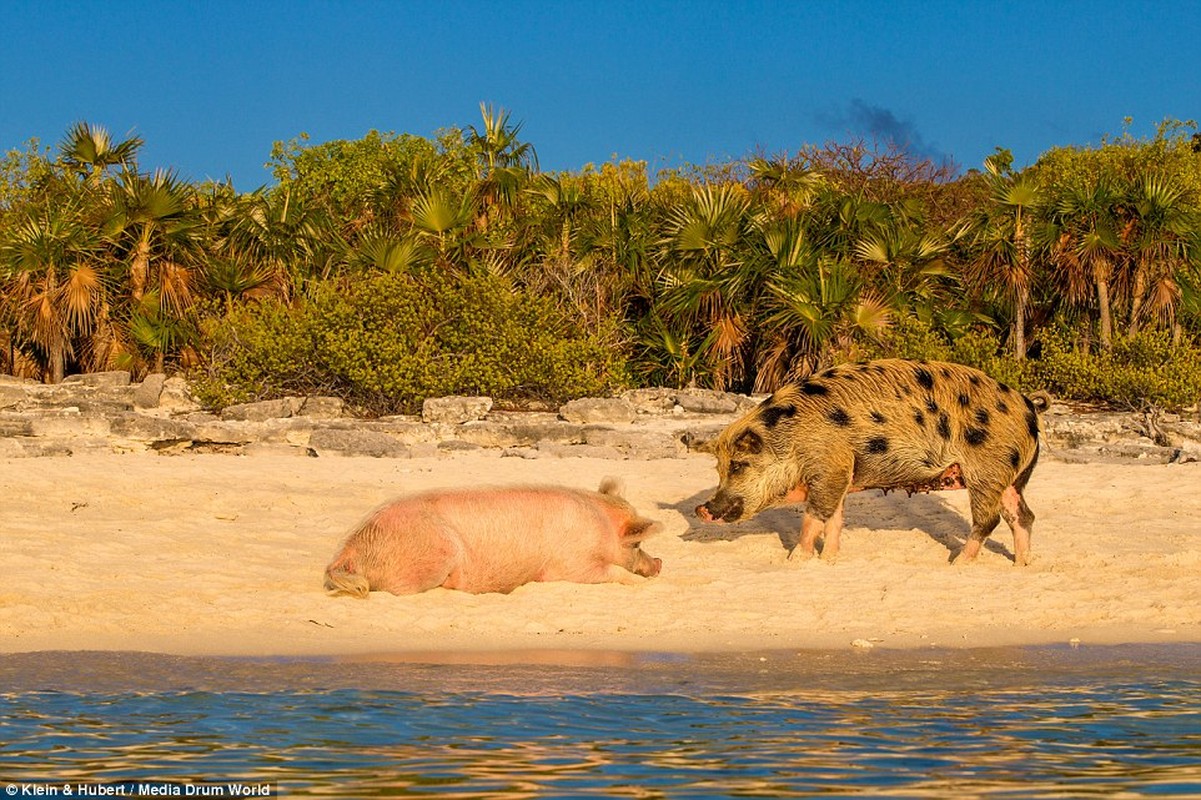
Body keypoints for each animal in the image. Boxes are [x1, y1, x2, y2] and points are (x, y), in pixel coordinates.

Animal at [324, 475, 662, 595]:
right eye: (637, 543)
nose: (660, 563)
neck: (601, 525)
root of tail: (351, 547)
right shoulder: (571, 565)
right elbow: (613, 572)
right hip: (434, 551)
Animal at [696, 357, 1052, 564]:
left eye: (738, 465)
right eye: (718, 468)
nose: (703, 508)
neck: (793, 438)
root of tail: (1028, 406)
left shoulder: (829, 467)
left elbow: (815, 516)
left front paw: (796, 560)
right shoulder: (843, 471)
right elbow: (835, 518)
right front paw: (829, 560)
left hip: (987, 469)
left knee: (988, 519)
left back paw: (956, 564)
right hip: (1012, 477)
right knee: (1023, 515)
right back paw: (1022, 564)